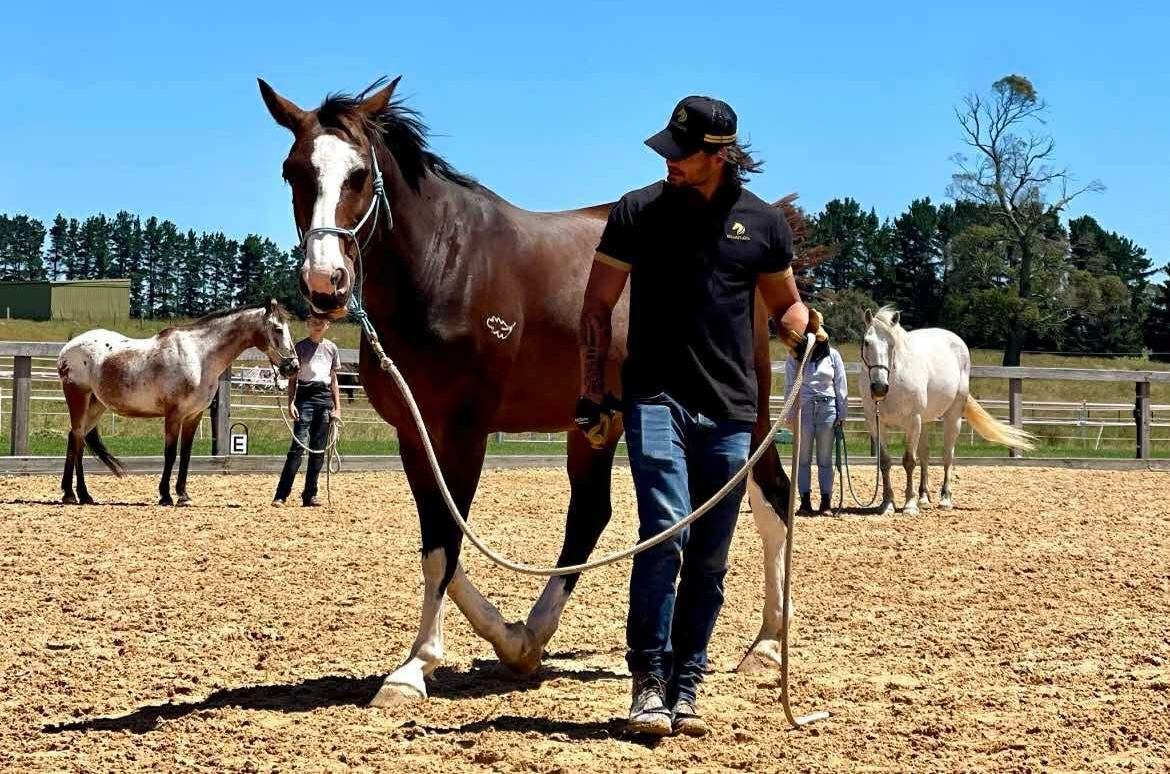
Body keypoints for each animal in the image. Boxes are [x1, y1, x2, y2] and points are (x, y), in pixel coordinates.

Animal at [56, 300, 299, 506]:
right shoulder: (174, 414)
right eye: (277, 328)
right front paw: (165, 496)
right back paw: (72, 494)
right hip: (79, 397)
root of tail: (67, 349)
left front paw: (183, 495)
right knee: (77, 438)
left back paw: (81, 495)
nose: (293, 367)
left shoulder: (193, 415)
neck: (199, 356)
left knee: (77, 438)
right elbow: (170, 453)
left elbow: (186, 454)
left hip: (96, 405)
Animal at [259, 75, 803, 705]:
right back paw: (540, 635)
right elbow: (438, 545)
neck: (444, 264)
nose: (325, 284)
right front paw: (508, 640)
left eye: (360, 173)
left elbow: (446, 542)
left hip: (747, 415)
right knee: (595, 514)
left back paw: (767, 646)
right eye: (292, 170)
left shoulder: (464, 431)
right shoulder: (415, 436)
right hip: (594, 423)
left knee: (770, 499)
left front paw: (414, 668)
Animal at [859, 306, 1036, 515]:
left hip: (952, 417)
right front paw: (887, 504)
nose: (879, 388)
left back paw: (945, 499)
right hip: (924, 421)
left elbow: (909, 461)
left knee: (947, 455)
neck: (894, 380)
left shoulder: (912, 421)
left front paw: (909, 505)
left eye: (892, 344)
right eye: (866, 342)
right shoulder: (876, 423)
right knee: (925, 455)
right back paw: (923, 498)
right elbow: (885, 462)